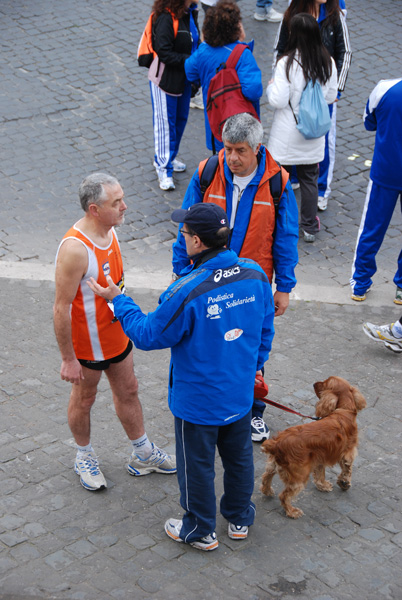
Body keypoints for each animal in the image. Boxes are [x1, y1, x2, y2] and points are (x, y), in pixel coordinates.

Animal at [260, 378, 368, 516]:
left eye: (324, 383)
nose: (314, 383)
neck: (344, 410)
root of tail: (276, 444)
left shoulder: (319, 457)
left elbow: (320, 473)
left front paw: (323, 485)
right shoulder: (348, 454)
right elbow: (347, 470)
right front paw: (344, 483)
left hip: (273, 465)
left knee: (266, 478)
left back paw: (267, 491)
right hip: (299, 476)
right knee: (284, 496)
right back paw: (292, 511)